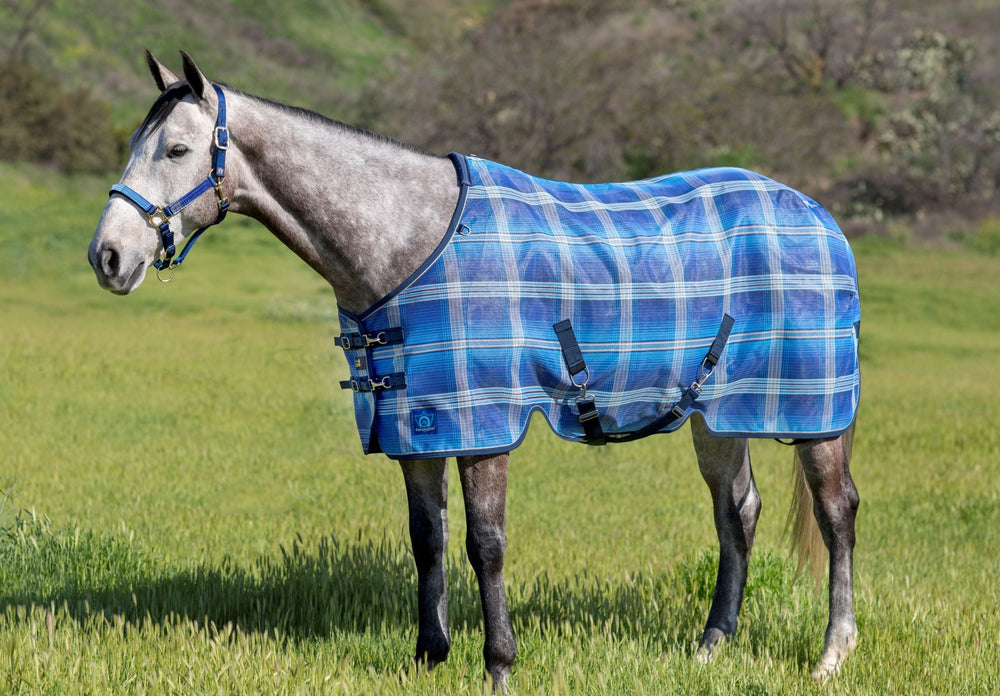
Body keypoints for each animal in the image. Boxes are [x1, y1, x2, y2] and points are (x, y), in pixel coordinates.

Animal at [88, 52, 860, 690]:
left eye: (178, 149)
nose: (108, 257)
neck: (409, 243)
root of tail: (819, 216)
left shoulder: (483, 427)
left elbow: (484, 545)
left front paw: (499, 665)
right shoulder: (416, 427)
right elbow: (426, 541)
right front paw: (428, 657)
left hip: (814, 414)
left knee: (836, 514)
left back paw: (831, 654)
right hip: (716, 411)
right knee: (738, 512)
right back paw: (709, 647)